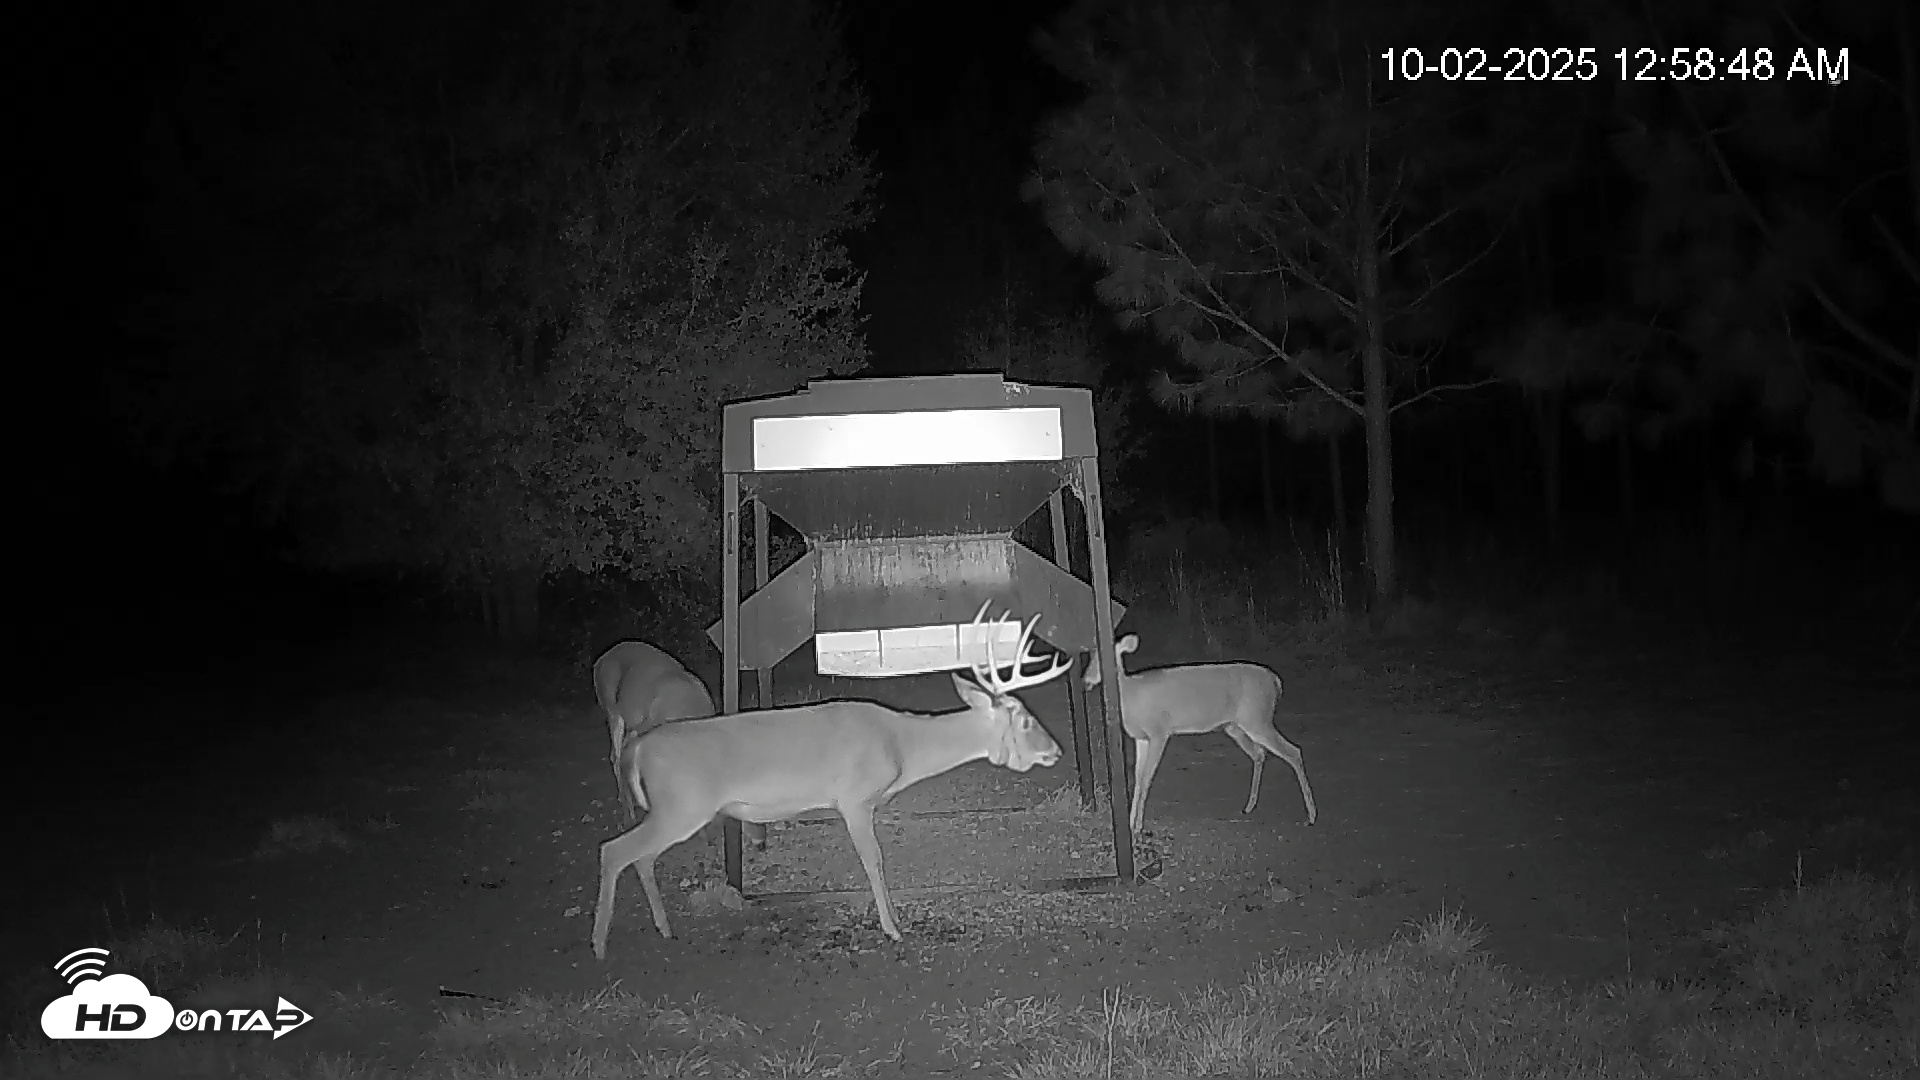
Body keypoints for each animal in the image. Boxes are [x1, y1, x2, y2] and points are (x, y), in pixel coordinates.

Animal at [592, 605, 1071, 958]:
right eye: (1026, 720)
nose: (1056, 751)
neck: (901, 745)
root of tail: (641, 749)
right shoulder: (854, 798)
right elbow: (874, 860)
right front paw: (893, 928)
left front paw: (894, 921)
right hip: (681, 805)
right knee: (614, 850)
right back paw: (599, 944)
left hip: (674, 810)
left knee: (640, 857)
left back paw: (664, 928)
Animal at [1084, 633, 1318, 836]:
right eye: (1092, 656)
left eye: (1107, 656)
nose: (1086, 679)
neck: (1131, 694)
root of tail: (1276, 681)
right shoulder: (1141, 738)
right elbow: (1138, 778)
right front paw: (1132, 823)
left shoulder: (1159, 731)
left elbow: (1147, 778)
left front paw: (1138, 826)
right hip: (1235, 726)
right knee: (1259, 753)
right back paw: (1249, 806)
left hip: (1258, 718)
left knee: (1293, 751)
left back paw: (1312, 816)